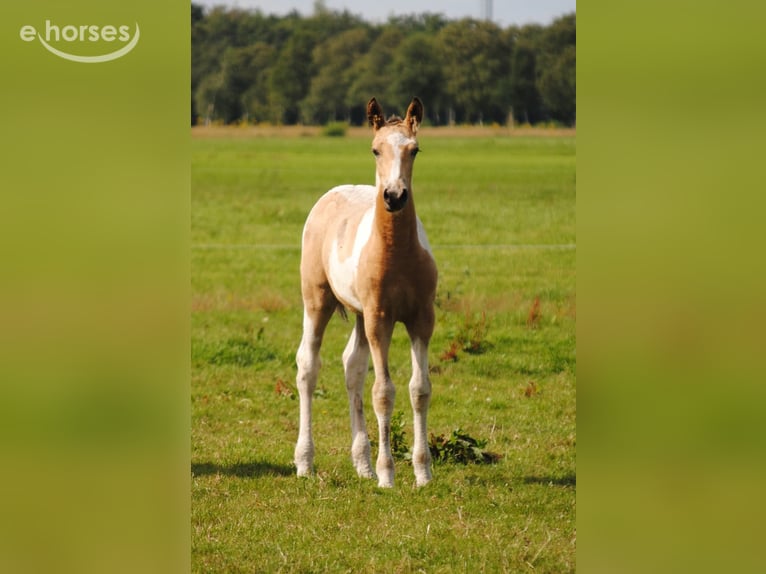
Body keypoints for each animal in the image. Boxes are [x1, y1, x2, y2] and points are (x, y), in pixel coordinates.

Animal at [294, 97, 438, 488]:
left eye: (414, 150)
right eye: (375, 150)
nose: (394, 196)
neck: (397, 253)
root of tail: (332, 194)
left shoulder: (421, 319)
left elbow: (419, 389)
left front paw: (423, 473)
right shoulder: (380, 319)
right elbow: (383, 392)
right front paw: (388, 476)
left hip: (359, 314)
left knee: (352, 367)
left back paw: (362, 464)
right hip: (317, 301)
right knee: (308, 366)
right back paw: (305, 462)